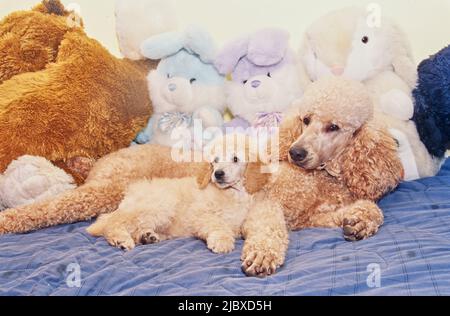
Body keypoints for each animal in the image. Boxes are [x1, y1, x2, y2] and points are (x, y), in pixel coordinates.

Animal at [88, 135, 258, 253]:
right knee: (112, 222)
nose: (218, 174)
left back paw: (146, 237)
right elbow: (217, 223)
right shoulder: (199, 214)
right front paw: (222, 241)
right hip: (158, 206)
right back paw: (120, 239)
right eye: (215, 160)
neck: (232, 193)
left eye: (235, 159)